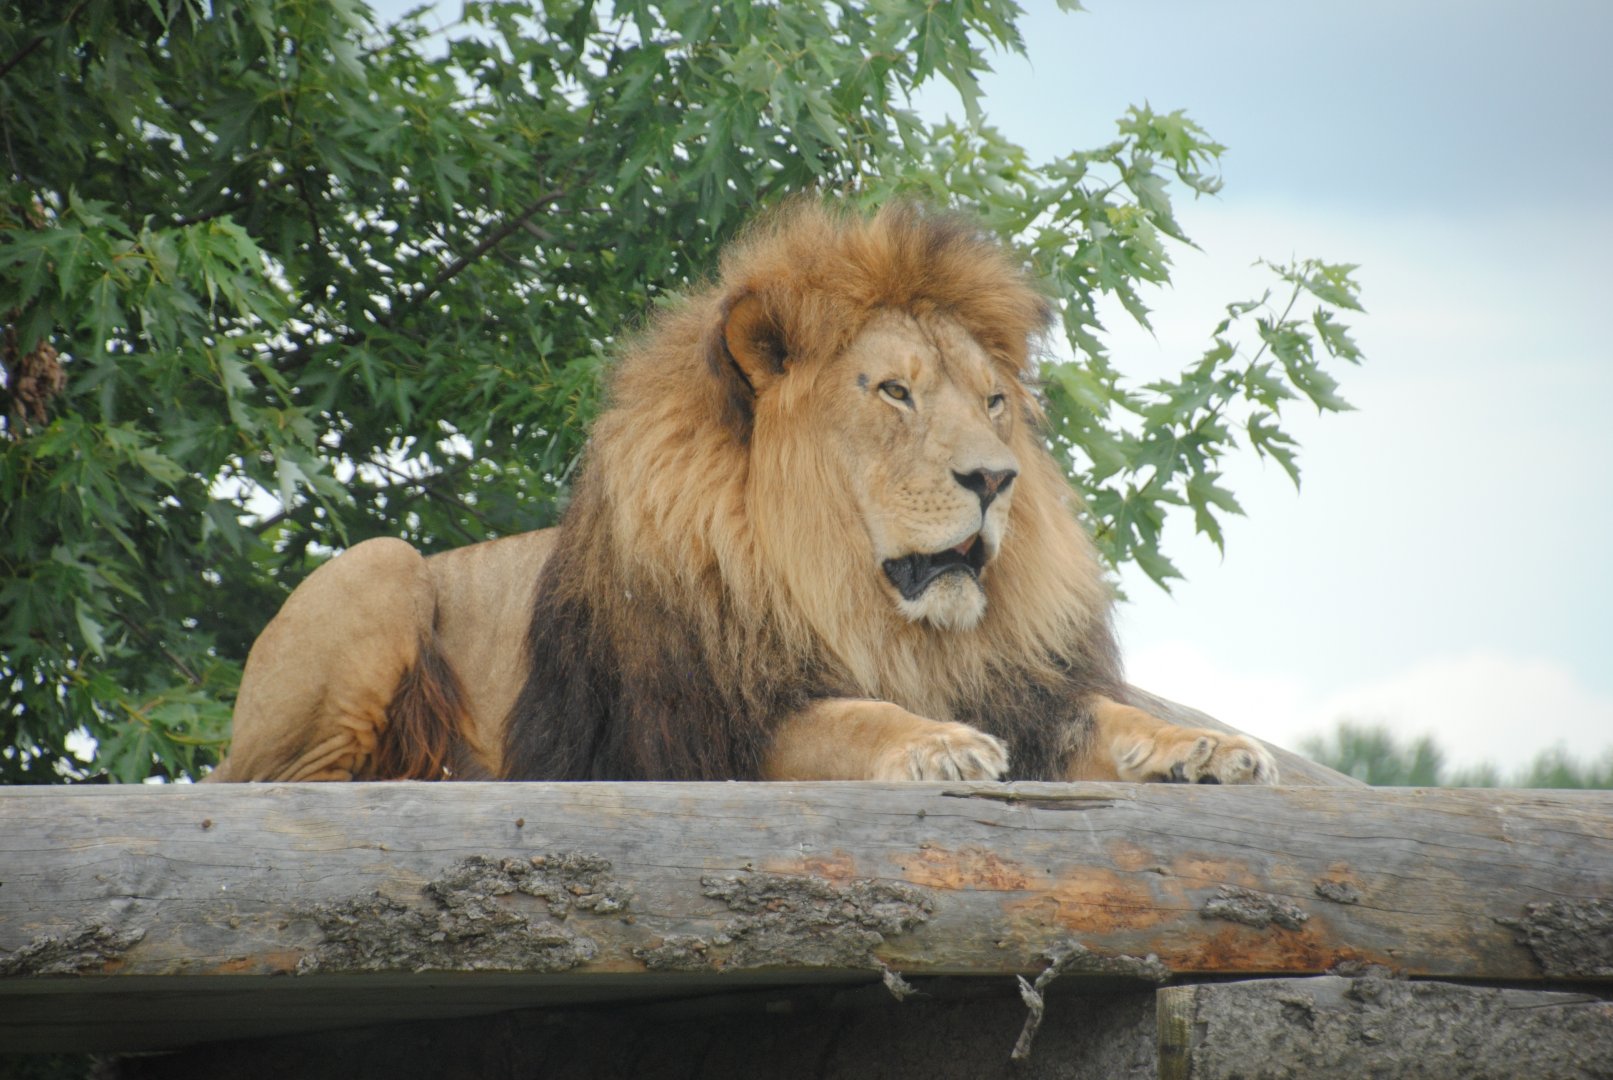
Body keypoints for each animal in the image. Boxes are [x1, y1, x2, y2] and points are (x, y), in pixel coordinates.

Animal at [210, 200, 1277, 788]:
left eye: (993, 403)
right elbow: (846, 718)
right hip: (376, 570)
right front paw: (936, 744)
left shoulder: (1025, 693)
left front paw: (1203, 744)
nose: (994, 479)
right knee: (283, 780)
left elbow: (1110, 720)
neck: (866, 609)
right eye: (892, 392)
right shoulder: (696, 729)